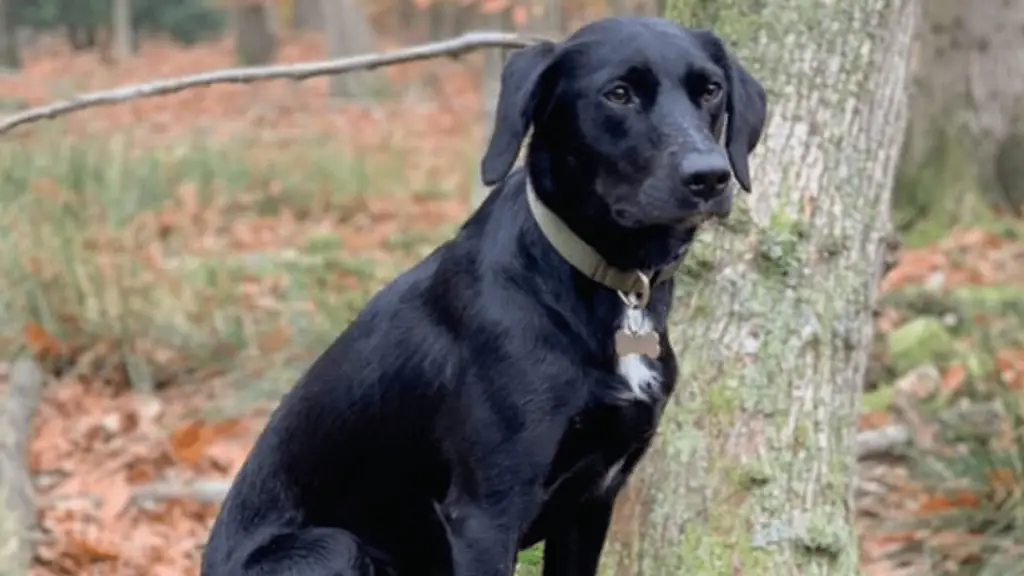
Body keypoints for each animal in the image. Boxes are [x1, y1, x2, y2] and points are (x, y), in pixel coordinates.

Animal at [199, 14, 765, 573]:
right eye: (619, 94)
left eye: (711, 90)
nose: (709, 176)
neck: (605, 286)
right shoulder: (485, 514)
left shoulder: (591, 505)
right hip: (331, 548)